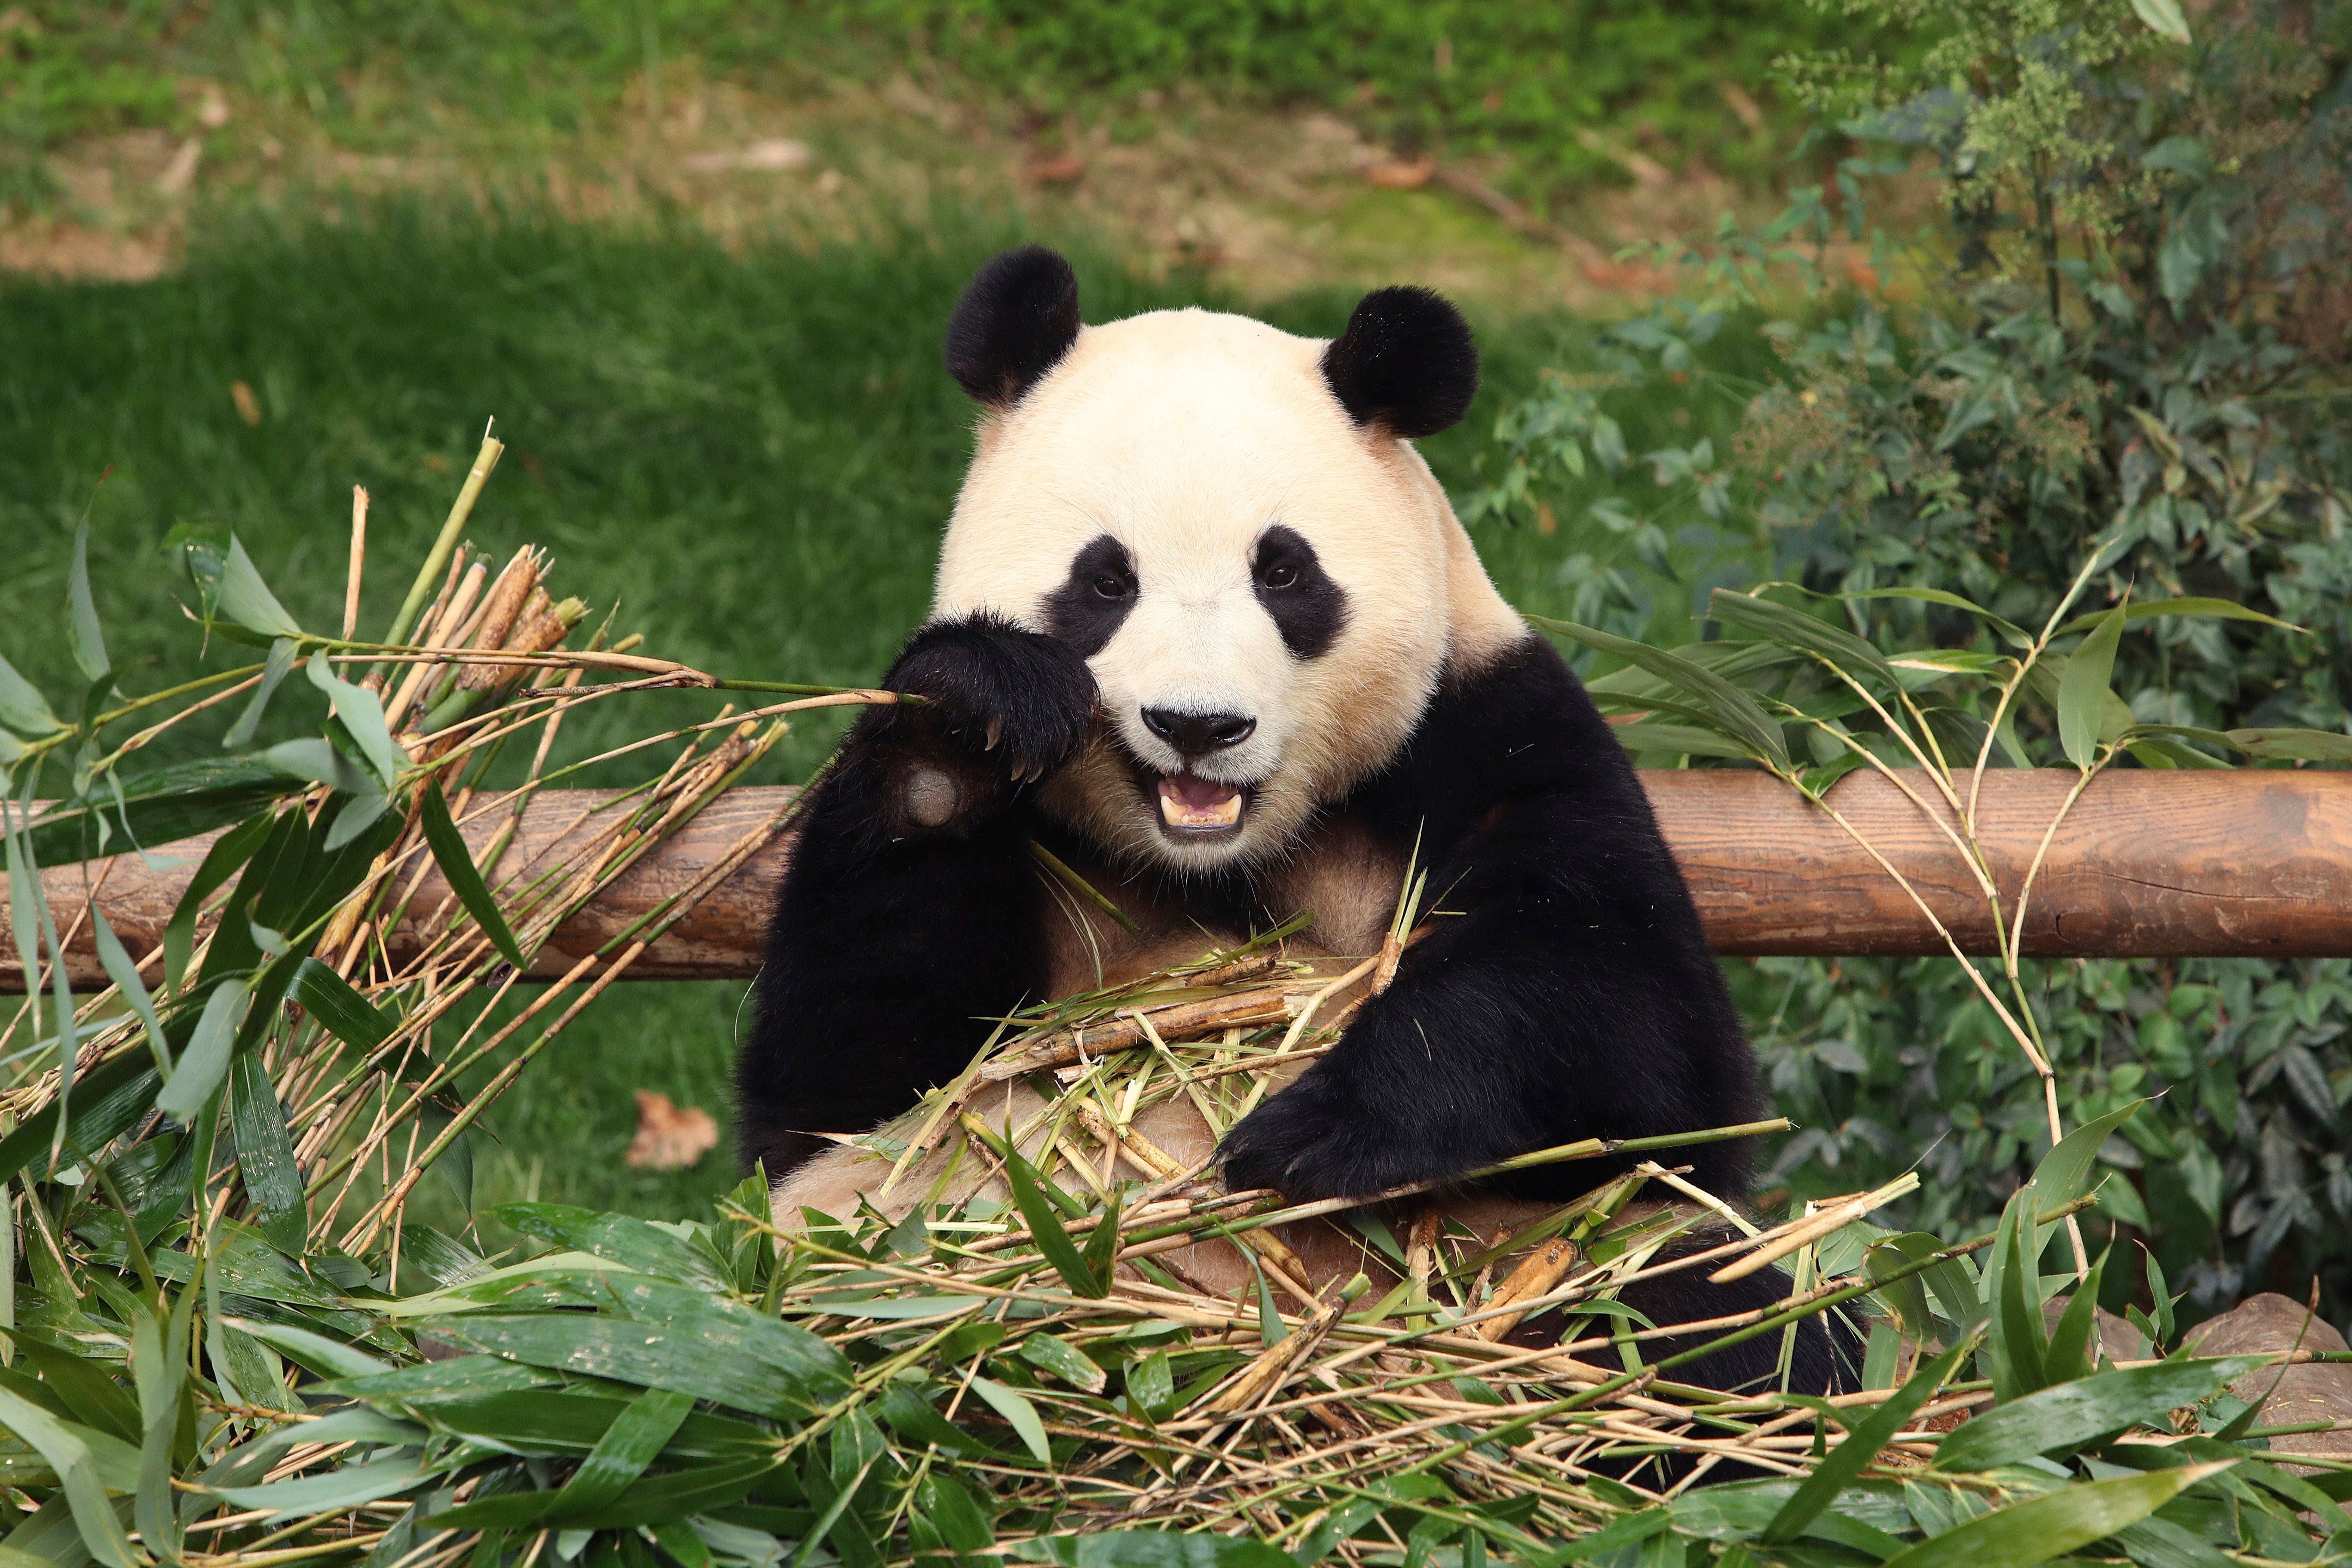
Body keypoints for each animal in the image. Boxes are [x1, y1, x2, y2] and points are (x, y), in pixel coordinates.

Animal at [737, 246, 1850, 1402]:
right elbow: (844, 1079)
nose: (1197, 726)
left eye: (1282, 572)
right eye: (1105, 579)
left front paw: (1315, 1132)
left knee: (1719, 1321)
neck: (1221, 859)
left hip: (1550, 1259)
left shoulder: (1489, 733)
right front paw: (971, 716)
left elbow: (1643, 1035)